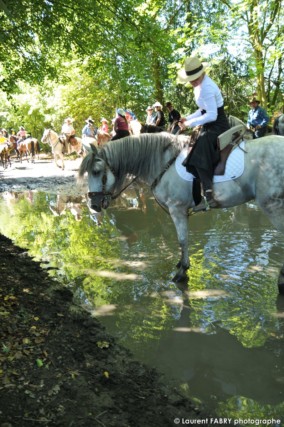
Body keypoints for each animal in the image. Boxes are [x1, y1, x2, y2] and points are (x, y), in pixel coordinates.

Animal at [79, 132, 284, 296]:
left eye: (96, 171)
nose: (94, 205)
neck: (163, 163)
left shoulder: (177, 210)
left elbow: (182, 240)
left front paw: (182, 272)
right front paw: (181, 265)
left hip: (273, 207)